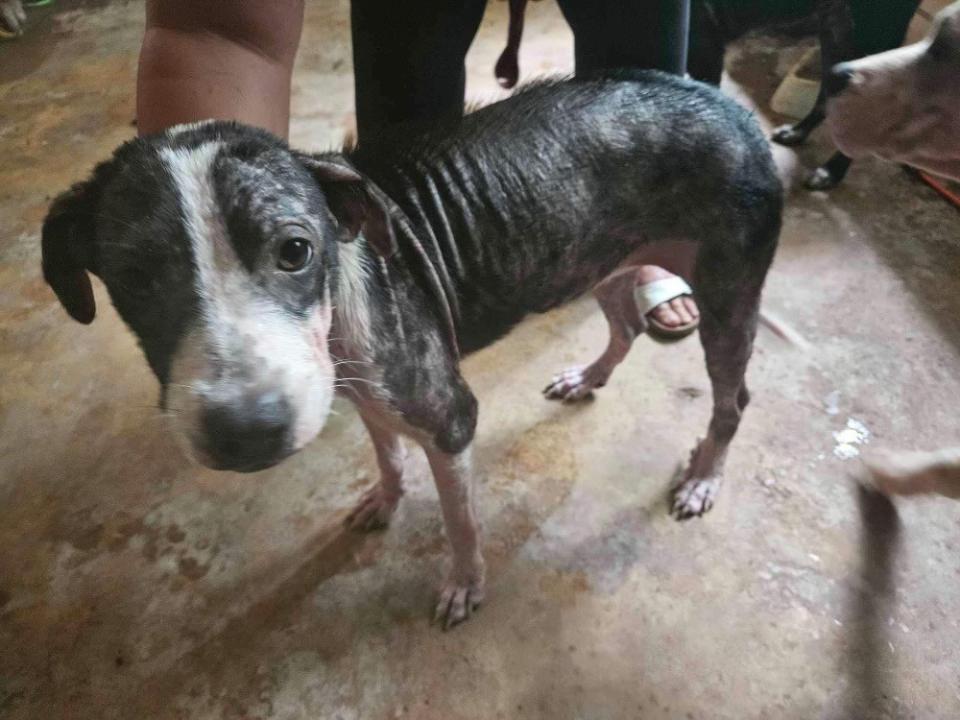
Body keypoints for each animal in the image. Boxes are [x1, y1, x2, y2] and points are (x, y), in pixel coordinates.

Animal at [41, 70, 784, 628]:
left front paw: (465, 585)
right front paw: (386, 499)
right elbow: (385, 449)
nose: (246, 433)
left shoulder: (450, 418)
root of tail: (730, 105)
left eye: (294, 250)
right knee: (625, 326)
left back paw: (702, 477)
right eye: (133, 279)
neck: (343, 286)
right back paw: (588, 377)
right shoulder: (363, 389)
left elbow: (459, 519)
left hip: (726, 297)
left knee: (735, 399)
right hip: (596, 260)